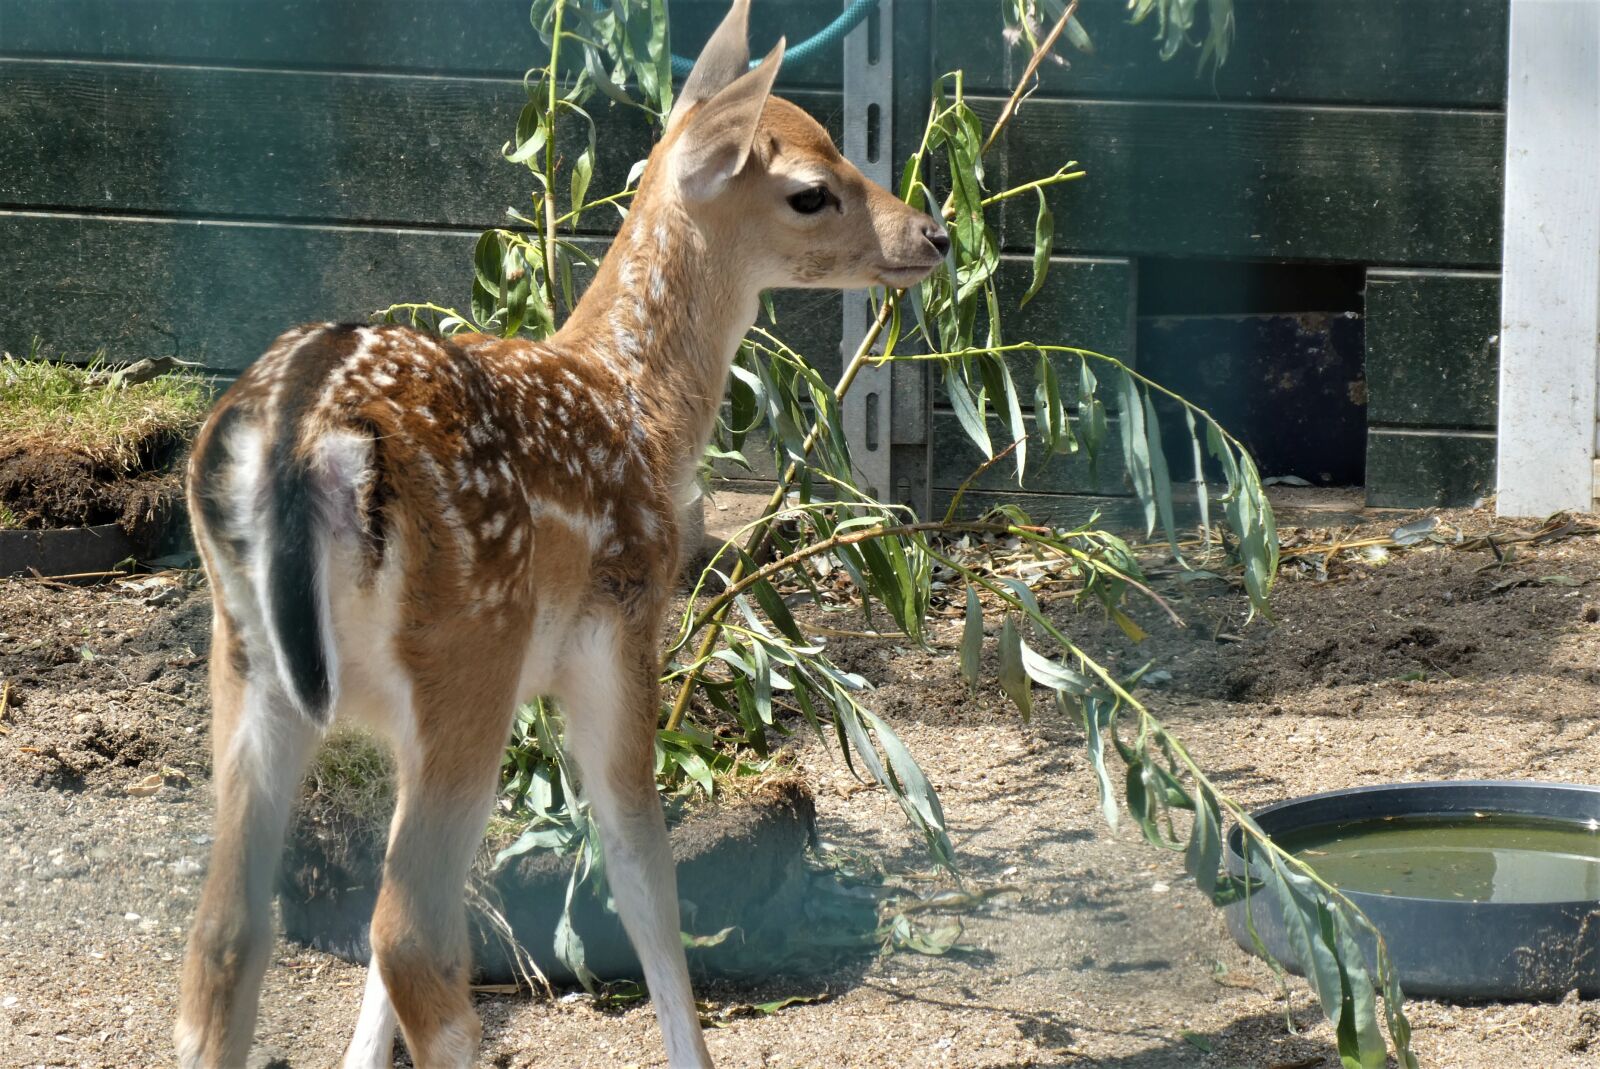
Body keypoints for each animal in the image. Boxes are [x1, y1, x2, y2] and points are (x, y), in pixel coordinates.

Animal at [173, 1, 948, 1066]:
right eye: (811, 191)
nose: (937, 232)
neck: (641, 411)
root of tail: (298, 437)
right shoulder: (620, 635)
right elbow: (643, 877)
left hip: (250, 662)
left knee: (229, 935)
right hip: (469, 645)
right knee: (409, 937)